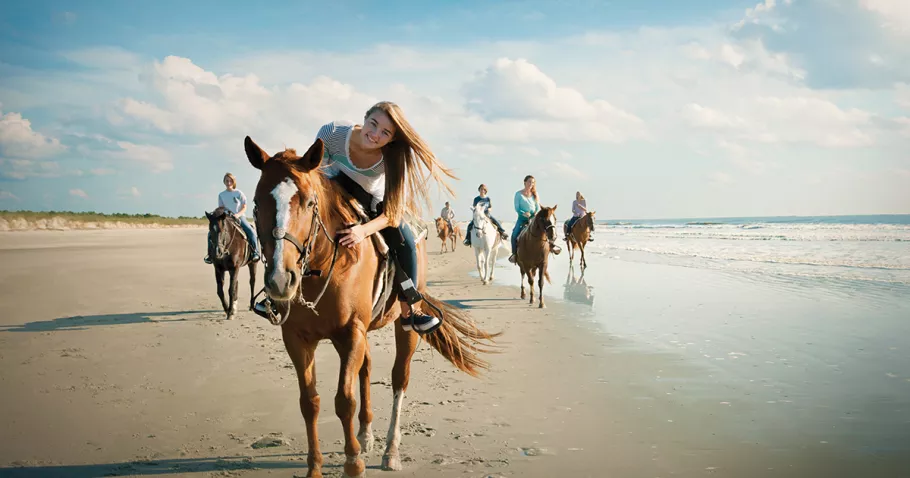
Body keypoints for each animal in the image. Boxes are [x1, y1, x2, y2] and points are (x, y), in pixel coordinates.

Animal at [244, 135, 498, 478]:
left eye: (309, 203)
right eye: (257, 203)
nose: (280, 279)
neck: (323, 265)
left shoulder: (352, 331)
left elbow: (344, 400)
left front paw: (353, 464)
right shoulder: (298, 338)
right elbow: (310, 401)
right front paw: (316, 468)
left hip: (404, 326)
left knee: (399, 378)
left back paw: (391, 450)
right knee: (365, 369)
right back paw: (365, 434)